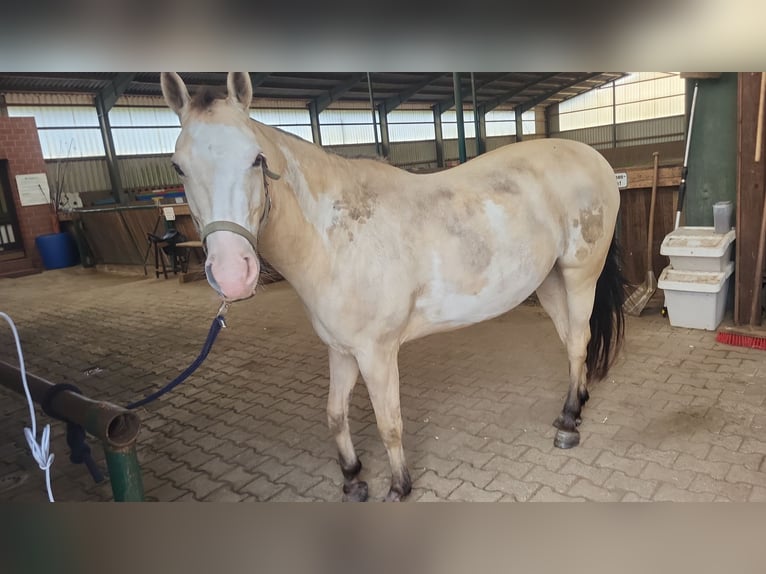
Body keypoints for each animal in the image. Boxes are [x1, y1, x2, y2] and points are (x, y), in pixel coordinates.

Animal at [160, 72, 626, 502]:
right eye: (179, 167)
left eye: (256, 159)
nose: (232, 274)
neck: (335, 239)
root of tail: (593, 159)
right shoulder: (341, 350)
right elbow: (334, 414)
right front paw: (352, 478)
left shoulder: (377, 353)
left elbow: (389, 423)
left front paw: (399, 487)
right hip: (549, 281)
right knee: (572, 340)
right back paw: (578, 401)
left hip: (580, 275)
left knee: (578, 341)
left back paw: (568, 422)